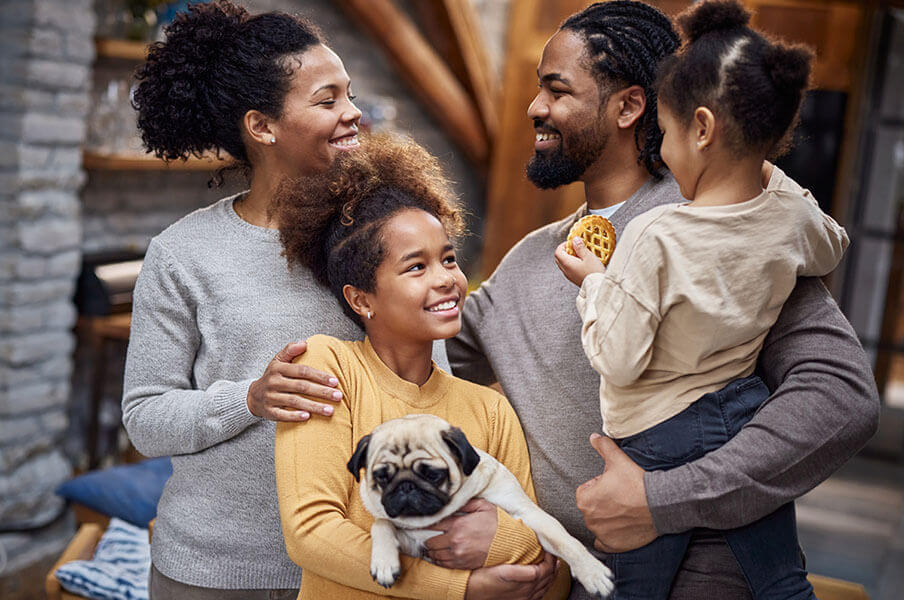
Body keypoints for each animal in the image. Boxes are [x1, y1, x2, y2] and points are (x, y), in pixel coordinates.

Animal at [346, 414, 616, 596]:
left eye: (432, 474)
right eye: (382, 477)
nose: (406, 486)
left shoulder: (527, 513)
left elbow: (565, 541)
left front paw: (592, 572)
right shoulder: (416, 544)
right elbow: (381, 524)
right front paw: (384, 562)